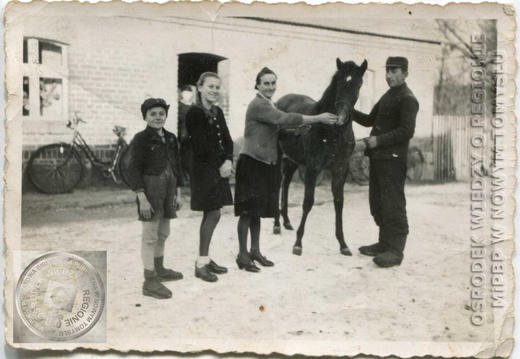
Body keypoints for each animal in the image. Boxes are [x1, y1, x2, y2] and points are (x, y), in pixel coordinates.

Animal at [274, 58, 368, 256]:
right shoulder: (313, 167)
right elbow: (308, 202)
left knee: (286, 182)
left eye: (358, 85)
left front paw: (343, 244)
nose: (340, 118)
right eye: (338, 82)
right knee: (277, 183)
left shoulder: (341, 169)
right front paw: (298, 243)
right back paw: (277, 224)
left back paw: (286, 221)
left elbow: (339, 202)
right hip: (278, 156)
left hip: (294, 160)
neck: (331, 132)